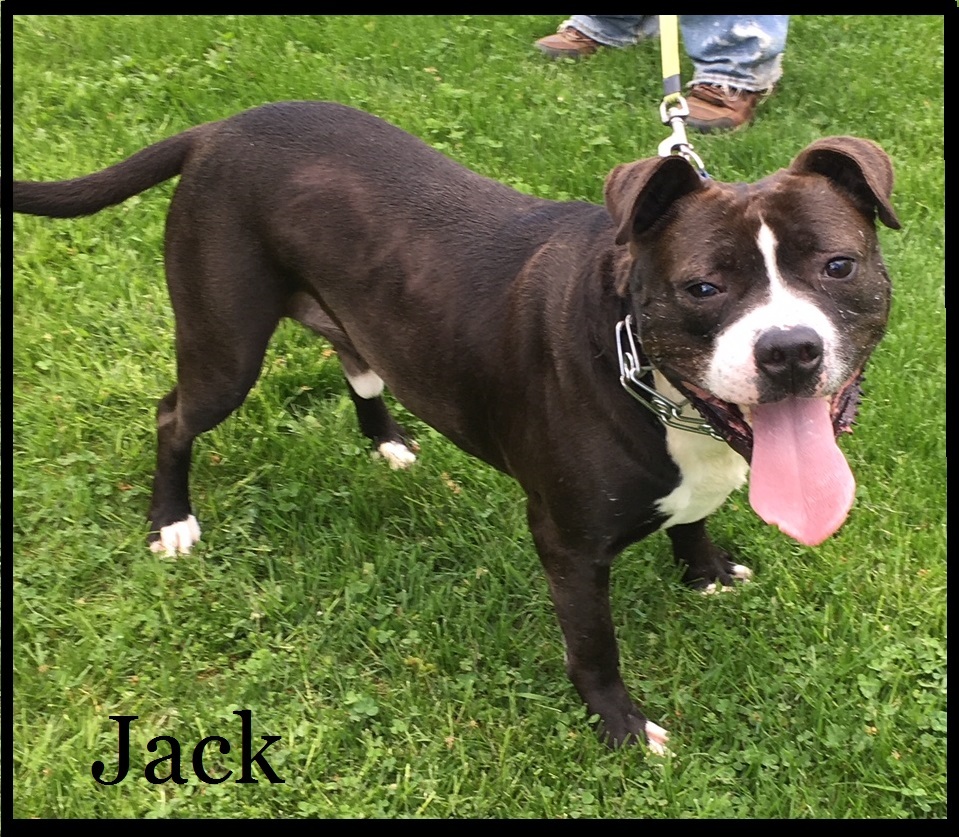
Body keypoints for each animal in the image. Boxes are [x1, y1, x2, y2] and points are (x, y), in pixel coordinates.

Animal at [13, 103, 900, 752]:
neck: (644, 370)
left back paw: (387, 439)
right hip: (223, 347)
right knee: (174, 416)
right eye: (704, 286)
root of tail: (219, 128)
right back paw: (171, 520)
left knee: (355, 357)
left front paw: (706, 570)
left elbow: (695, 516)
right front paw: (619, 729)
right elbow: (595, 650)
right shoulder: (567, 547)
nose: (788, 350)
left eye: (836, 266)